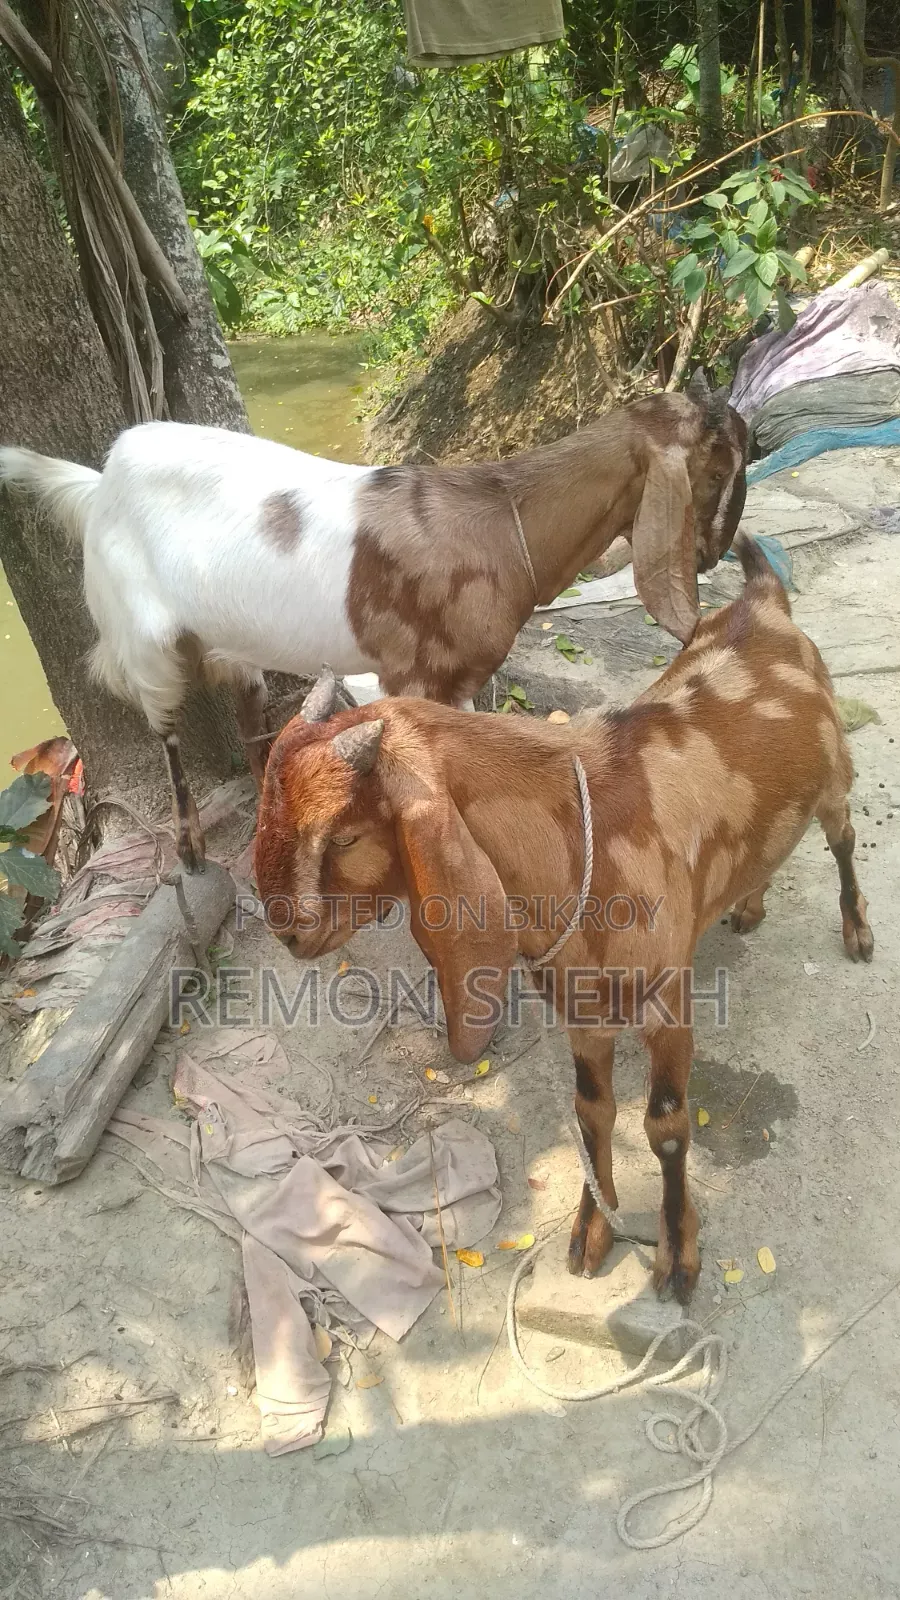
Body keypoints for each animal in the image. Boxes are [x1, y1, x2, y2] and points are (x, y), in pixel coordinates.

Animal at [0, 370, 746, 871]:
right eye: (715, 472)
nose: (715, 554)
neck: (503, 522)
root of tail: (100, 483)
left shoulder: (460, 677)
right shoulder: (408, 672)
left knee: (246, 707)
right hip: (142, 635)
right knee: (167, 729)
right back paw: (189, 847)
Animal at [254, 534, 873, 1304]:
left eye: (343, 836)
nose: (287, 930)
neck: (582, 844)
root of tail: (761, 599)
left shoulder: (667, 999)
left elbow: (667, 1127)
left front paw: (678, 1256)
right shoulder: (582, 1011)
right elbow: (591, 1113)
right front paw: (591, 1231)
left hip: (835, 780)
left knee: (844, 840)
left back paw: (857, 930)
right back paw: (748, 907)